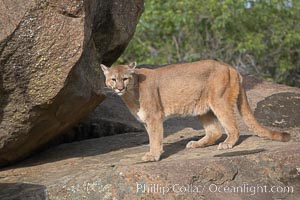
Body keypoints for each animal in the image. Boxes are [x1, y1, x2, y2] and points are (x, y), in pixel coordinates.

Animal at [101, 60, 290, 162]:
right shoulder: (147, 120)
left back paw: (227, 144)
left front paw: (153, 156)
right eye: (113, 79)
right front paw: (154, 154)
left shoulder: (154, 117)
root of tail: (231, 67)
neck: (131, 93)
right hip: (202, 108)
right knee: (214, 131)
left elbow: (155, 138)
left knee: (233, 128)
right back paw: (196, 143)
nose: (119, 88)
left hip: (219, 101)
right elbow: (152, 138)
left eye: (125, 78)